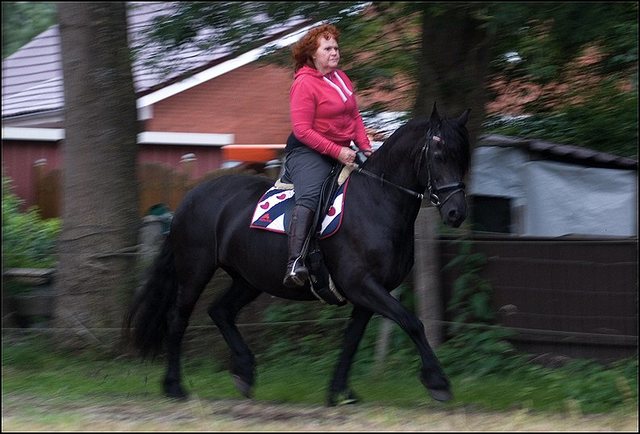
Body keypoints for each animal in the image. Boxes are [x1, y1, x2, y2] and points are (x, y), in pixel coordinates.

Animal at [124, 105, 470, 406]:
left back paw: (244, 373)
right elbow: (412, 323)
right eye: (438, 155)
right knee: (177, 319)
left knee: (220, 311)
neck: (377, 201)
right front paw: (438, 382)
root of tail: (190, 197)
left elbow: (352, 339)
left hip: (249, 279)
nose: (456, 213)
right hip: (195, 270)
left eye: (463, 159)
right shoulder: (362, 285)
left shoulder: (366, 294)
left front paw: (340, 392)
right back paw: (175, 386)